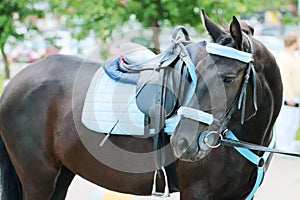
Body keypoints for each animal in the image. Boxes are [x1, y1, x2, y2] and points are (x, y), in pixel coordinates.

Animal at [0, 9, 282, 200]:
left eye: (228, 78)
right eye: (197, 72)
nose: (183, 142)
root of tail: (14, 83)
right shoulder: (197, 191)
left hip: (61, 174)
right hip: (39, 178)